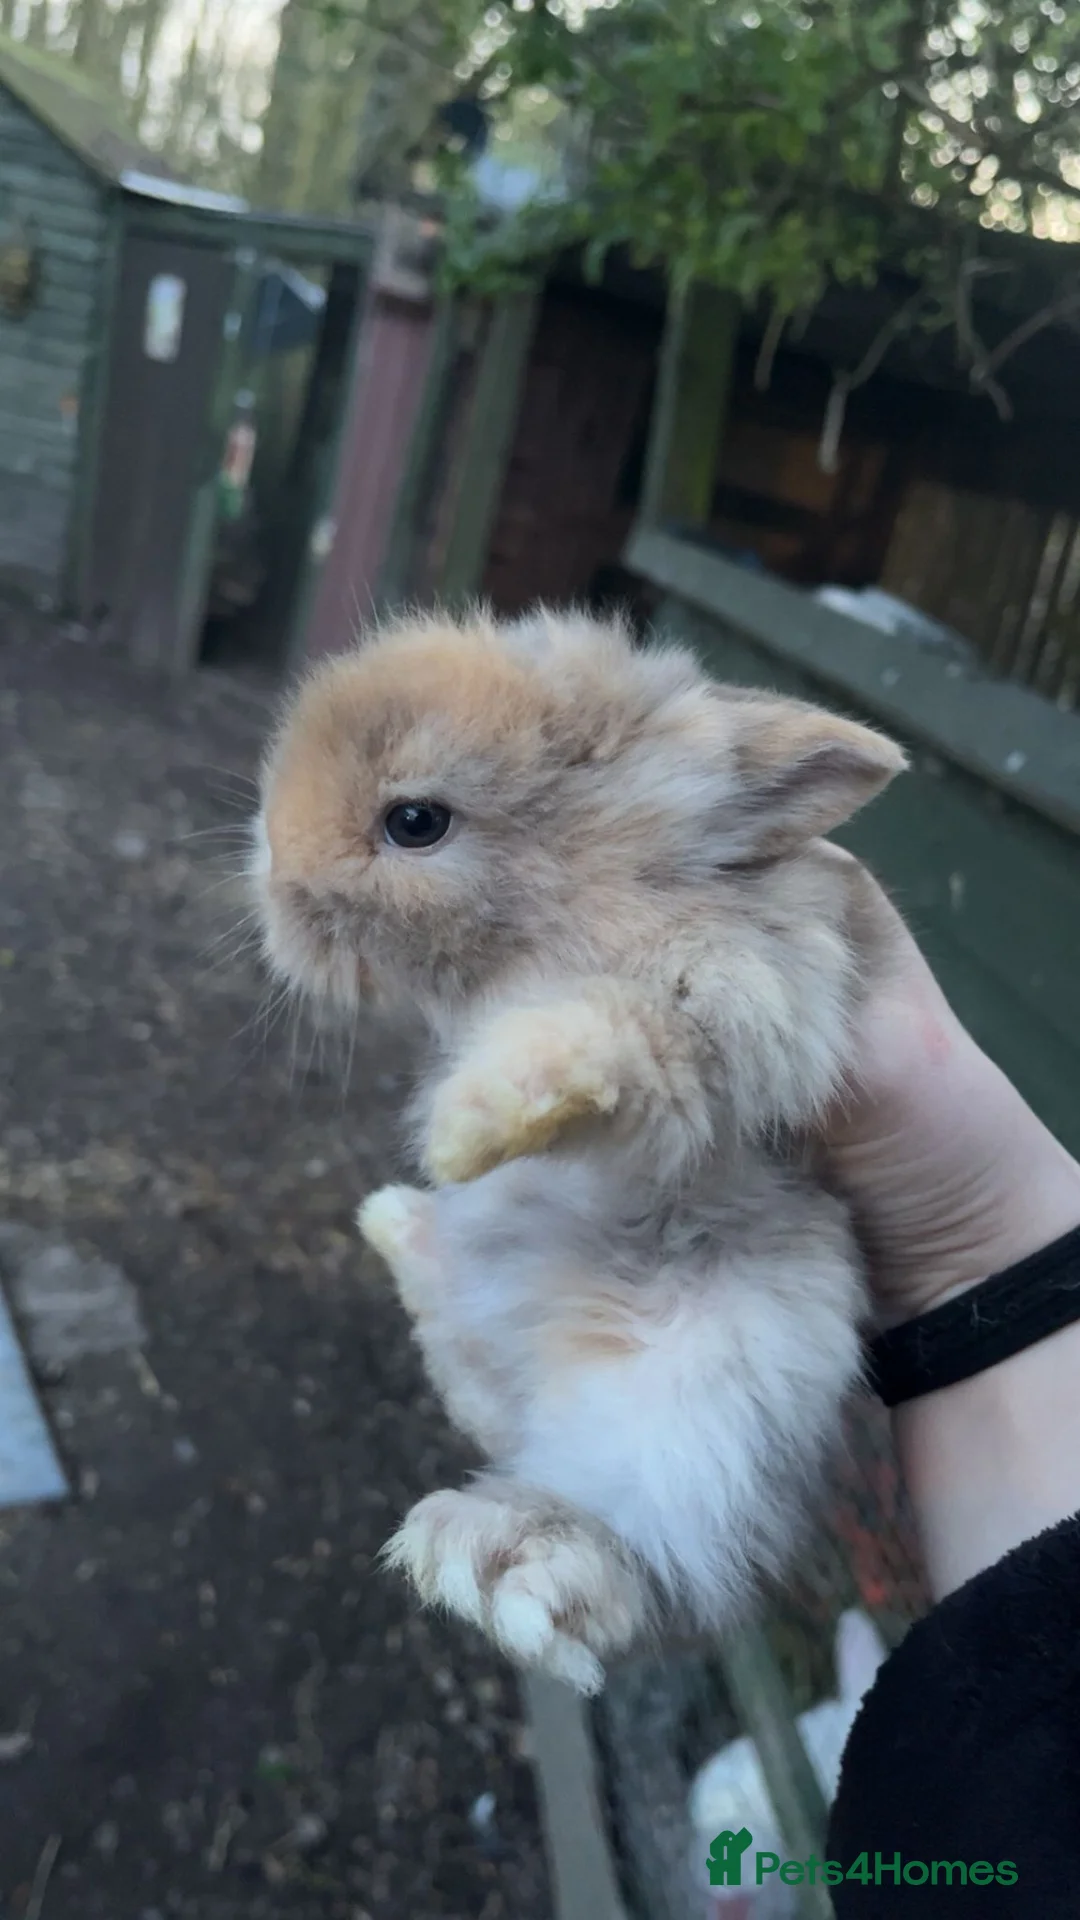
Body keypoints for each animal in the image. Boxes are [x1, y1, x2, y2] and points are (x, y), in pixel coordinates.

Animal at [250, 606, 906, 1693]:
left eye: (415, 821)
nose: (272, 880)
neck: (569, 904)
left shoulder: (723, 1018)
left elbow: (601, 1037)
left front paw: (470, 1125)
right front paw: (447, 1152)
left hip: (699, 1403)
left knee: (642, 1563)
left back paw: (499, 1563)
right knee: (482, 1392)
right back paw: (399, 1227)